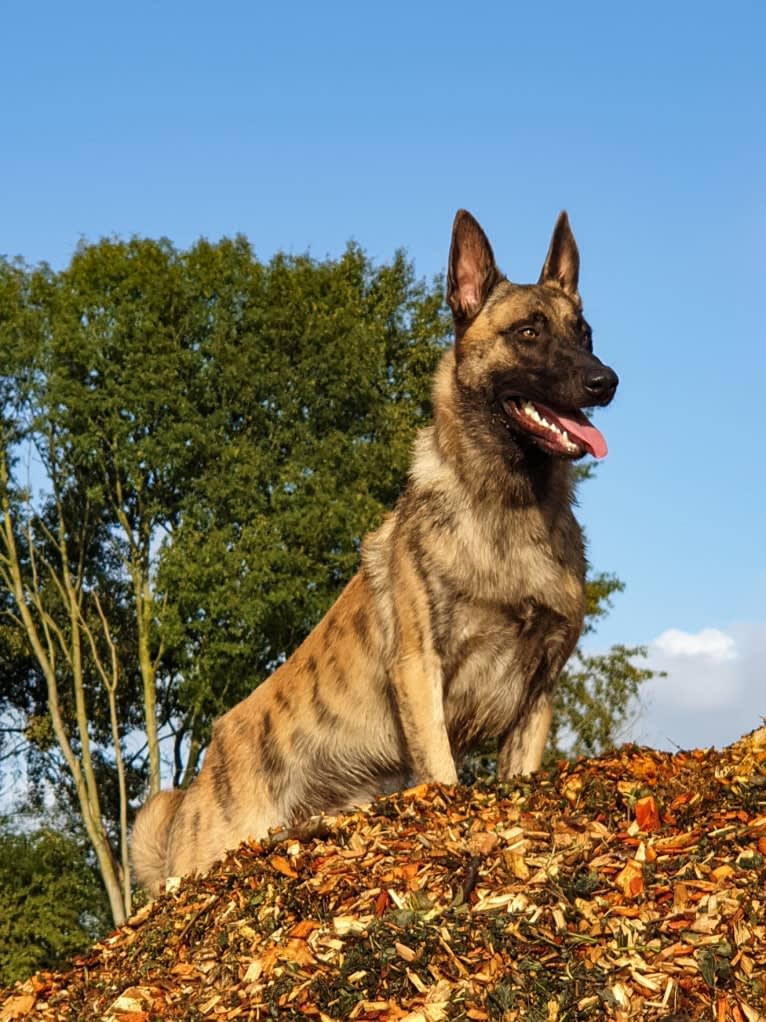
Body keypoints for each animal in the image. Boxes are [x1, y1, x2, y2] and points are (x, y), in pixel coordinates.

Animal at [133, 209, 616, 895]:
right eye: (528, 332)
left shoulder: (536, 695)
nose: (607, 381)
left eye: (585, 332)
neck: (509, 508)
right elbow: (442, 771)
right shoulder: (420, 670)